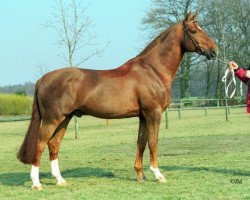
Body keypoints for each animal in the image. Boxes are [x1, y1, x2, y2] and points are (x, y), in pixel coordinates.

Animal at [17, 10, 217, 189]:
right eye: (194, 30)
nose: (214, 51)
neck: (153, 70)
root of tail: (43, 78)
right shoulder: (154, 113)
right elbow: (153, 142)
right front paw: (158, 175)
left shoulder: (143, 116)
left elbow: (141, 142)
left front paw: (140, 176)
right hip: (51, 119)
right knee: (40, 145)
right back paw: (36, 183)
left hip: (65, 118)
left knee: (54, 145)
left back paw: (60, 180)